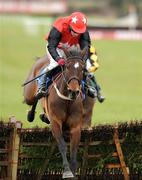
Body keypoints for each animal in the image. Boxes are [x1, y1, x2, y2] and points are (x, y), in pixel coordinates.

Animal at [22, 46, 95, 177]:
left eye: (82, 69)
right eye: (67, 67)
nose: (73, 91)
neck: (67, 100)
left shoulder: (76, 126)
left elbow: (73, 148)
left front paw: (73, 171)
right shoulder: (56, 122)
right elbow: (62, 145)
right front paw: (67, 171)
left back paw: (43, 116)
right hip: (28, 94)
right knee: (33, 99)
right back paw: (31, 113)